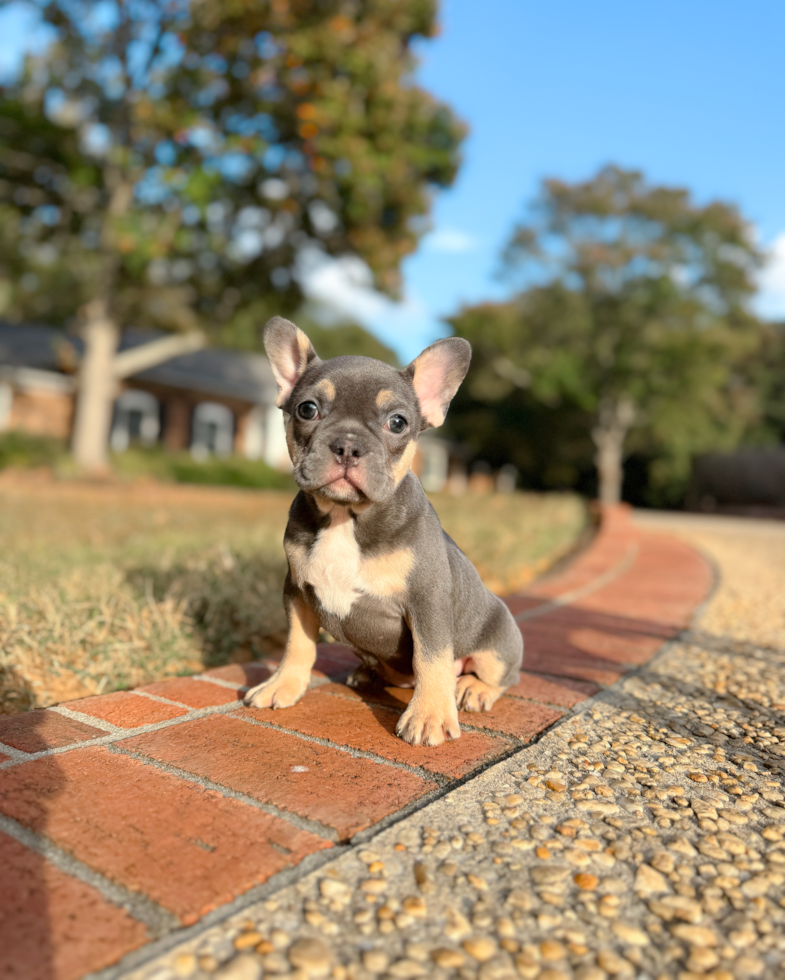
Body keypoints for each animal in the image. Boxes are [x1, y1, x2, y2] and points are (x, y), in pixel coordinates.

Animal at [243, 318, 520, 748]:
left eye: (398, 422)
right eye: (307, 409)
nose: (347, 445)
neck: (346, 517)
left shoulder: (427, 600)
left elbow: (431, 658)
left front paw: (429, 716)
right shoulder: (297, 592)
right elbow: (297, 645)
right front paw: (281, 685)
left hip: (497, 643)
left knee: (501, 675)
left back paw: (472, 689)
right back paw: (367, 673)